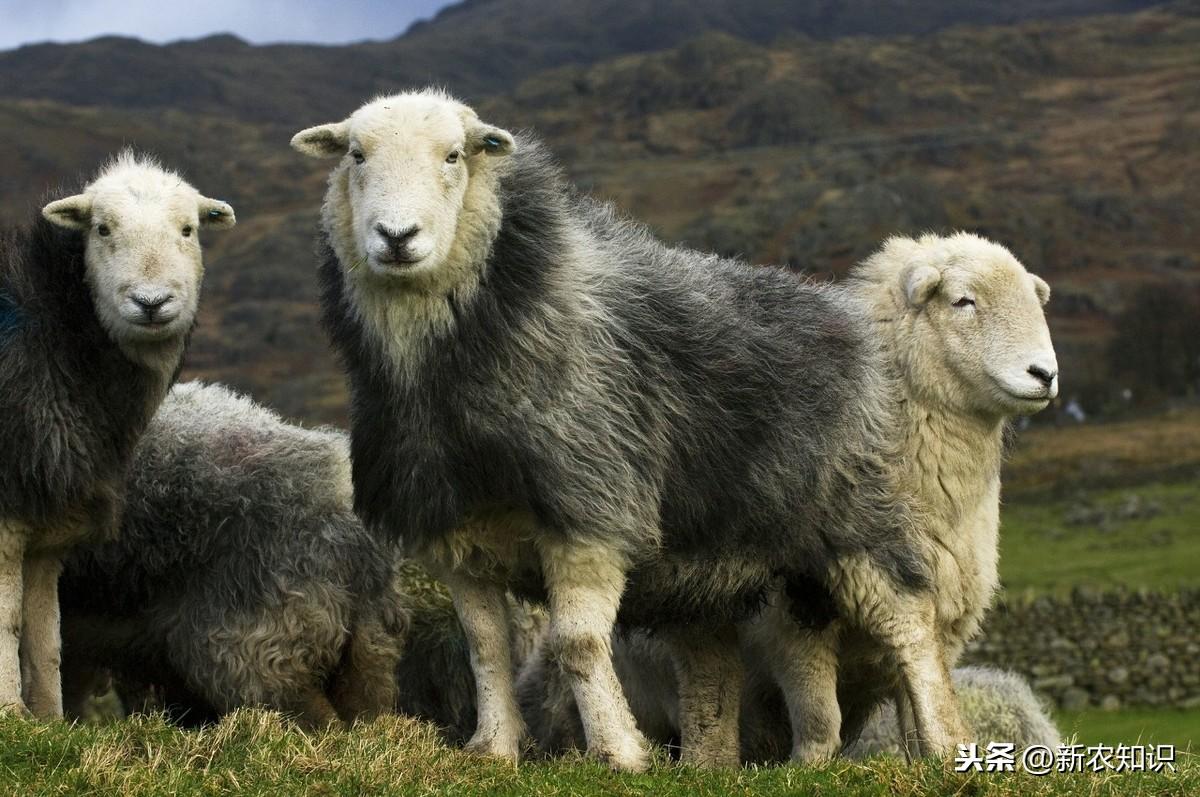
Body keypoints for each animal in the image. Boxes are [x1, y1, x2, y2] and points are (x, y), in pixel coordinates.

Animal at [0, 153, 235, 715]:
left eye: (189, 229)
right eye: (102, 229)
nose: (151, 302)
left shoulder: (49, 524)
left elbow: (45, 640)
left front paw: (48, 722)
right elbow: (9, 624)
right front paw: (9, 714)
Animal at [295, 88, 969, 772]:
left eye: (454, 156)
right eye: (356, 155)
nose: (396, 237)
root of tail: (838, 312)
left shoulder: (591, 509)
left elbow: (578, 644)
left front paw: (619, 752)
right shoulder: (456, 524)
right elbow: (485, 647)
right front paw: (493, 750)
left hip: (850, 512)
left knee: (910, 621)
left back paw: (943, 745)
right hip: (714, 558)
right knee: (725, 664)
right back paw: (716, 765)